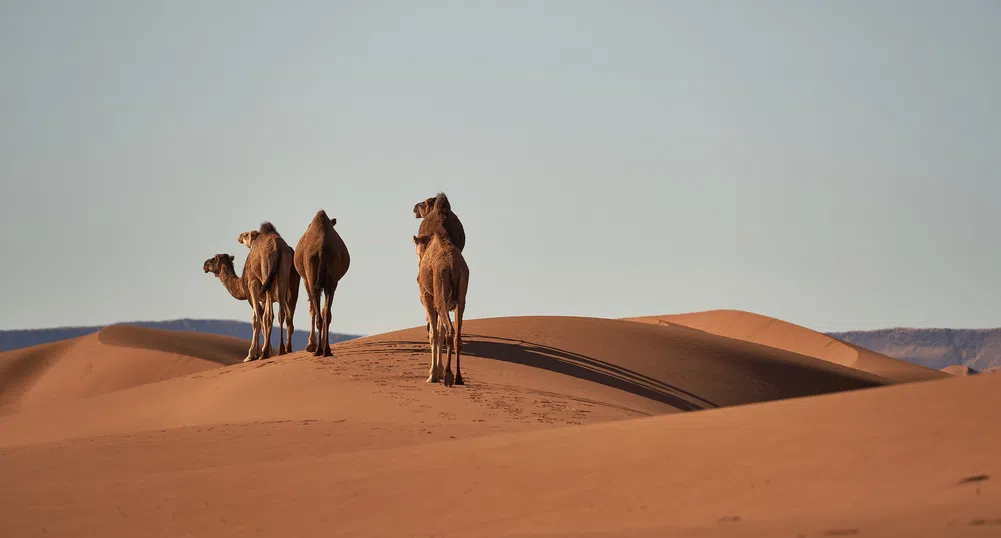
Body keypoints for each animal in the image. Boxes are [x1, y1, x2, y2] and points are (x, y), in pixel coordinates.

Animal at [238, 223, 300, 354]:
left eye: (246, 235)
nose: (239, 236)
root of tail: (278, 248)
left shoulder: (253, 283)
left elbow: (257, 318)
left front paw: (251, 354)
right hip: (284, 275)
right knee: (283, 314)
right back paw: (283, 349)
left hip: (266, 272)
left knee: (269, 315)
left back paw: (266, 351)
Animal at [292, 209, 348, 356]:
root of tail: (322, 250)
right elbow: (323, 310)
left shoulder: (306, 280)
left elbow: (312, 309)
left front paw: (310, 345)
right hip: (331, 281)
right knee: (326, 314)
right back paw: (326, 350)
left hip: (311, 275)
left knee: (318, 312)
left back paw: (317, 350)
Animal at [412, 218, 466, 386]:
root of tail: (453, 266)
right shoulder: (445, 302)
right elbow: (439, 333)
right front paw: (439, 371)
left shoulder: (427, 297)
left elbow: (434, 334)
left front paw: (434, 375)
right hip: (460, 296)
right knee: (457, 334)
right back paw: (458, 377)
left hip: (440, 291)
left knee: (450, 331)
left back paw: (449, 375)